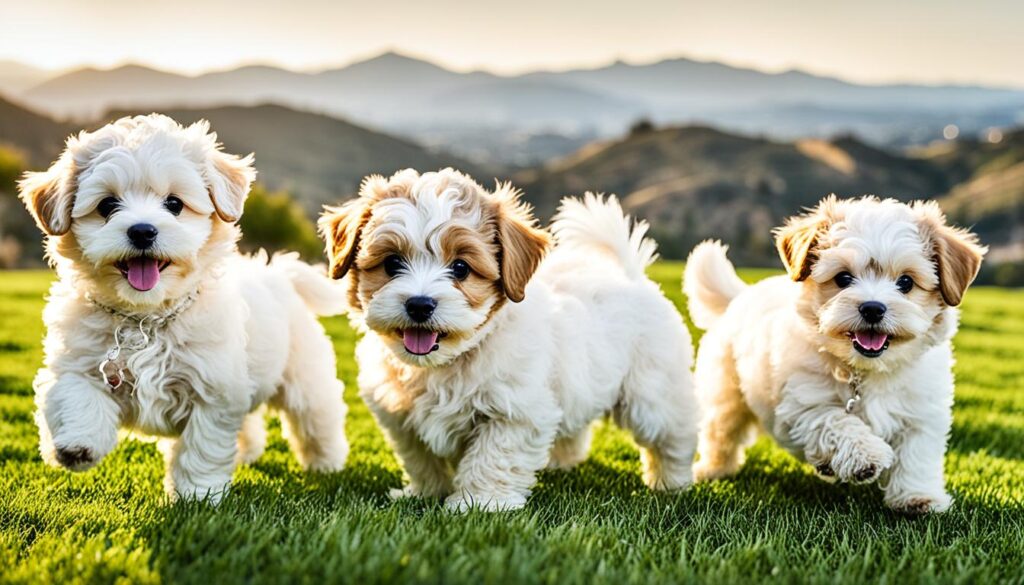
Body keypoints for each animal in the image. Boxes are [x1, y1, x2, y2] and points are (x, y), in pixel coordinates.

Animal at [18, 113, 348, 504]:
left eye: (174, 204)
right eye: (107, 206)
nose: (142, 231)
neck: (146, 317)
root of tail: (281, 275)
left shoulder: (214, 391)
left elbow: (202, 447)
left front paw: (197, 496)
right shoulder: (77, 360)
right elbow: (73, 392)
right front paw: (78, 445)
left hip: (305, 379)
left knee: (317, 418)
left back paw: (327, 462)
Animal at [319, 168, 700, 512]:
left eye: (460, 268)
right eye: (392, 263)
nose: (419, 304)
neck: (450, 361)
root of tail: (627, 273)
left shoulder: (514, 412)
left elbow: (492, 456)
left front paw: (479, 503)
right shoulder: (400, 416)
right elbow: (420, 456)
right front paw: (424, 492)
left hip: (652, 391)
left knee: (673, 431)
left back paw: (671, 482)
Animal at [684, 195, 987, 512]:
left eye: (906, 282)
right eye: (843, 278)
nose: (872, 308)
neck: (866, 370)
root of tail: (740, 297)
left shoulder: (921, 412)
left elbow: (917, 454)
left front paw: (917, 496)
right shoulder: (803, 402)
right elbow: (835, 420)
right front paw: (866, 456)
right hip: (725, 391)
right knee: (721, 431)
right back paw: (713, 469)